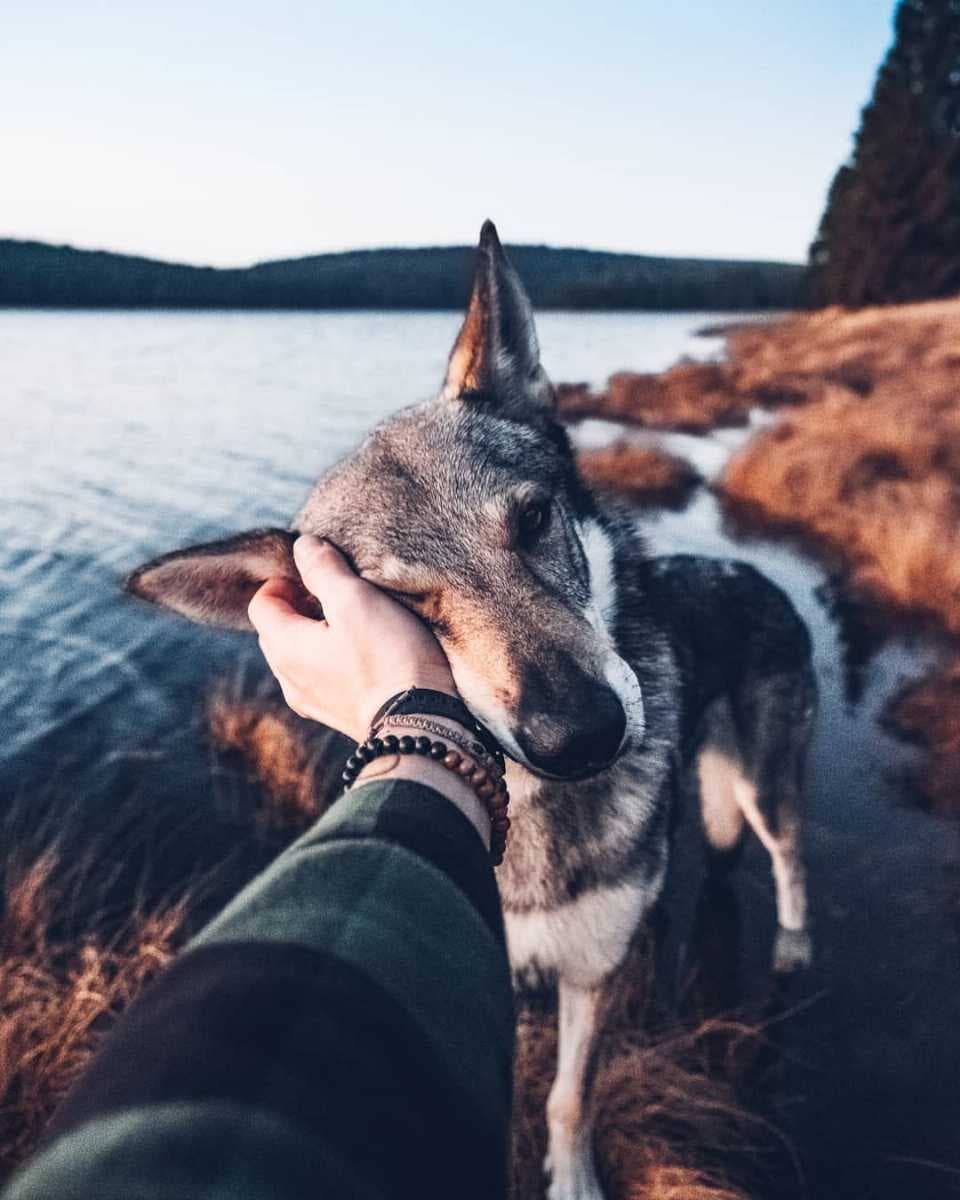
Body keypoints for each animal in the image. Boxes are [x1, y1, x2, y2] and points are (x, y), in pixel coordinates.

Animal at [128, 221, 815, 1200]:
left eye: (532, 521)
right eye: (403, 604)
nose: (583, 735)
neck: (527, 816)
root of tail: (758, 575)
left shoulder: (590, 971)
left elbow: (568, 1100)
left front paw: (573, 1181)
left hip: (762, 786)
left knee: (790, 858)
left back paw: (793, 945)